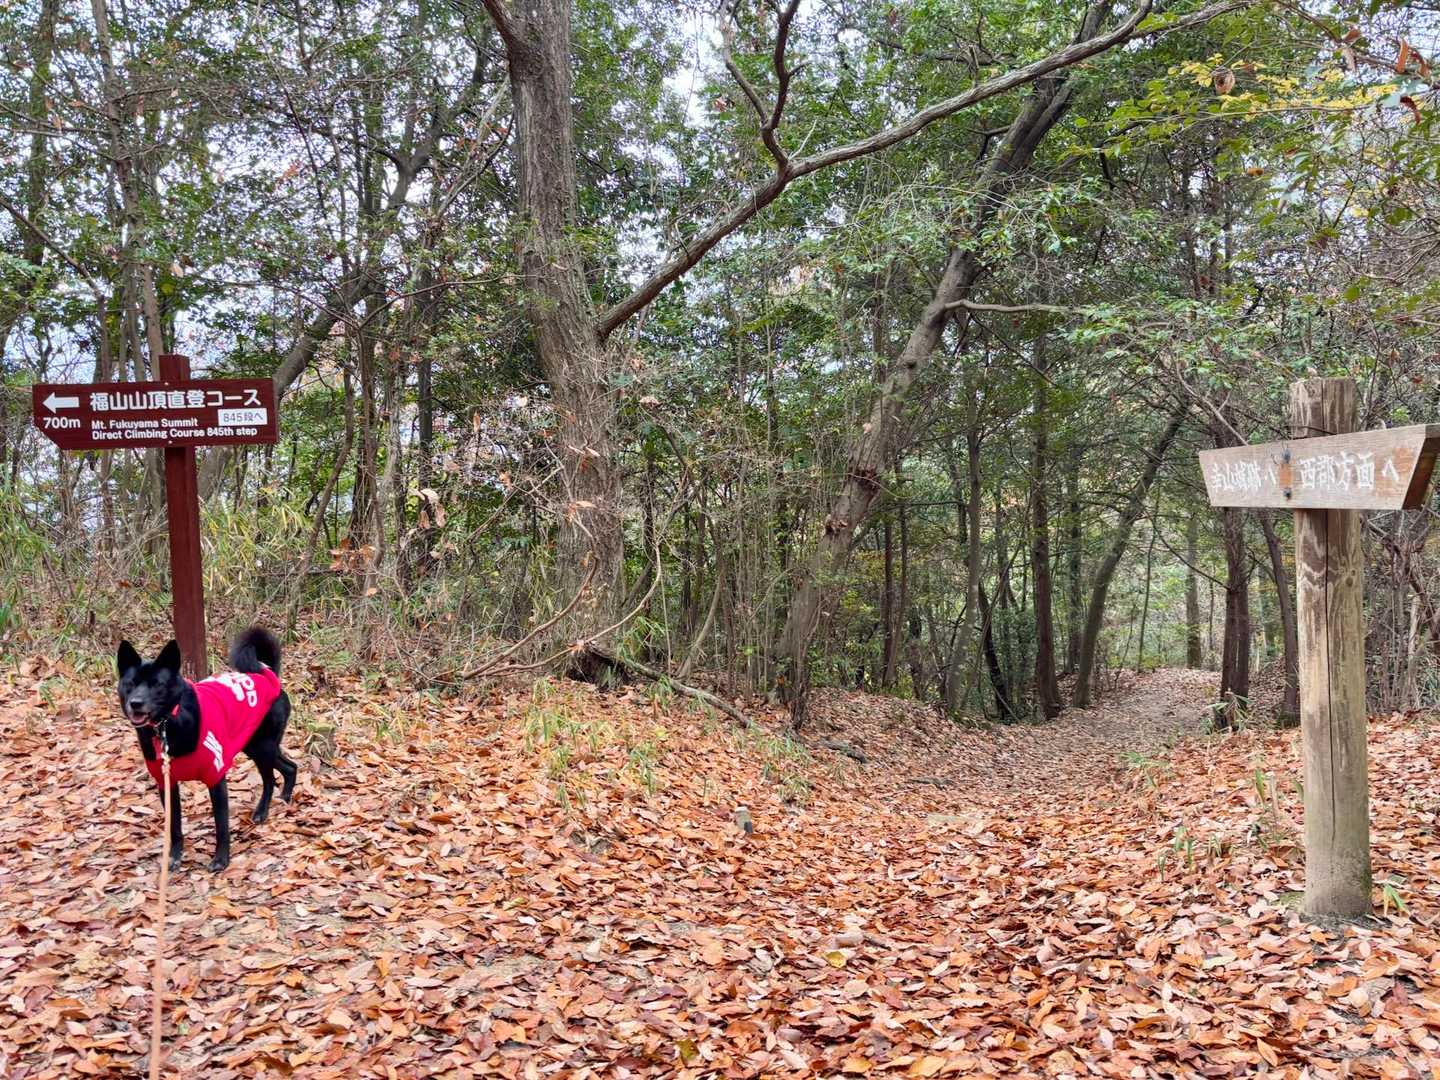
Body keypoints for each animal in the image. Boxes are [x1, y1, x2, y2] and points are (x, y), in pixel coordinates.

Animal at [116, 627, 297, 871]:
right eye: (131, 683)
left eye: (157, 684)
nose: (135, 703)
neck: (168, 724)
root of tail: (268, 676)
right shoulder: (167, 784)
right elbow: (174, 827)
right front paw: (174, 857)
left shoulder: (215, 778)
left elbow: (221, 825)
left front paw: (221, 859)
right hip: (256, 746)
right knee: (290, 767)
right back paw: (285, 798)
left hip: (263, 748)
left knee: (270, 779)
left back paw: (262, 811)